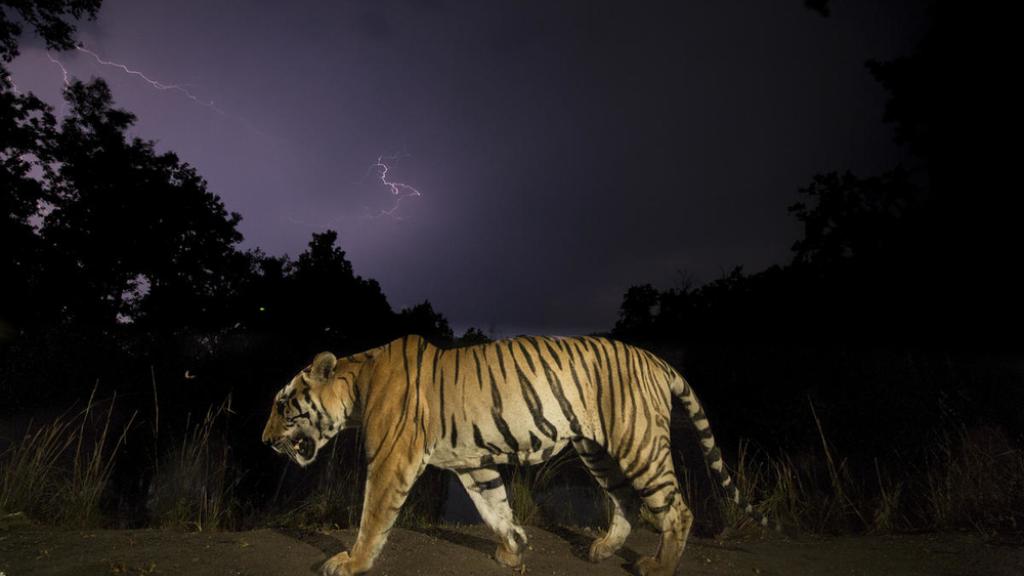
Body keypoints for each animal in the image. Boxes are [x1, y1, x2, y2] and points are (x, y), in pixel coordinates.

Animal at [262, 334, 768, 576]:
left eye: (283, 406)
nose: (264, 441)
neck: (356, 387)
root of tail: (657, 359)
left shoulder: (391, 460)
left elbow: (372, 518)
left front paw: (351, 562)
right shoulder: (471, 462)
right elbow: (494, 507)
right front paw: (514, 547)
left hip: (638, 443)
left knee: (677, 509)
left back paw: (658, 566)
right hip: (597, 450)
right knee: (624, 500)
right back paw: (603, 550)